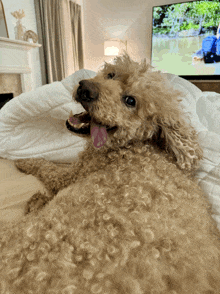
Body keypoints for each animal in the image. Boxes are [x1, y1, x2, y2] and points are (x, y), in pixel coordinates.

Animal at [1, 54, 220, 292]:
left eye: (130, 101)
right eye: (111, 74)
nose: (85, 88)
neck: (135, 146)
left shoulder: (72, 174)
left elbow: (46, 166)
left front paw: (23, 161)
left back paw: (37, 201)